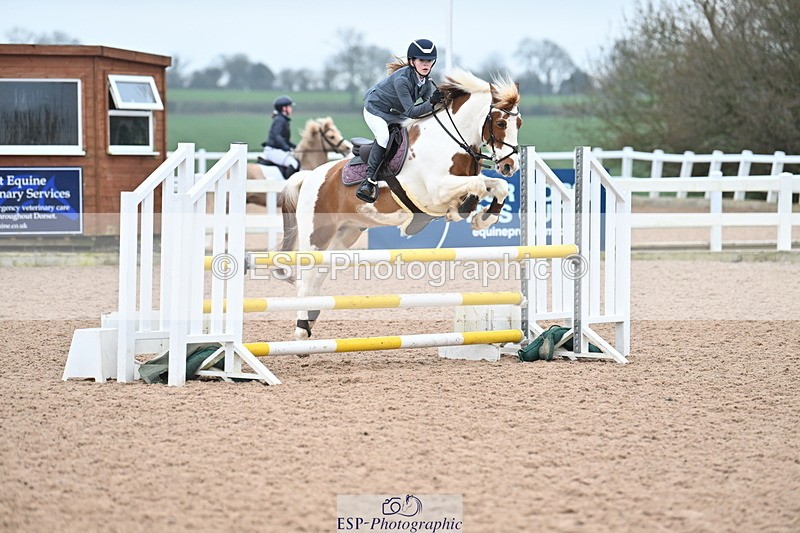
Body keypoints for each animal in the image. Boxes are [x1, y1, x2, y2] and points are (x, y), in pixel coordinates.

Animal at [278, 69, 522, 340]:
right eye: (500, 123)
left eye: (519, 123)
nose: (510, 166)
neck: (448, 141)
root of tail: (310, 176)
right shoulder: (436, 190)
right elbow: (477, 186)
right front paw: (465, 210)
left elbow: (497, 186)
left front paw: (484, 218)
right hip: (317, 235)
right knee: (306, 278)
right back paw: (301, 329)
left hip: (345, 234)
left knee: (317, 276)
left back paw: (310, 318)